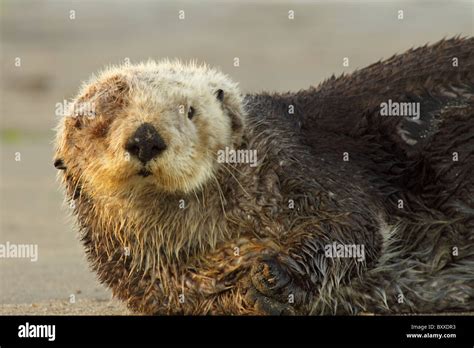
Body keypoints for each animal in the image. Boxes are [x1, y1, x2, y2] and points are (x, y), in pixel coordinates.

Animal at [53, 38, 472, 316]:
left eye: (189, 111)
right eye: (100, 119)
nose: (145, 138)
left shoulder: (296, 165)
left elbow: (350, 227)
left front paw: (276, 278)